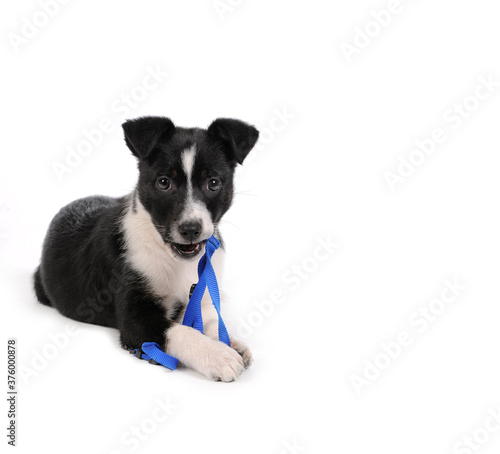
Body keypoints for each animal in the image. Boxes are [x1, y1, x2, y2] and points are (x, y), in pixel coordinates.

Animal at [34, 115, 260, 382]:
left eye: (213, 183)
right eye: (164, 183)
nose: (191, 229)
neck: (171, 258)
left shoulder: (201, 293)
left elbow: (210, 323)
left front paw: (230, 342)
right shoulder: (136, 318)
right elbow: (180, 332)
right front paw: (218, 355)